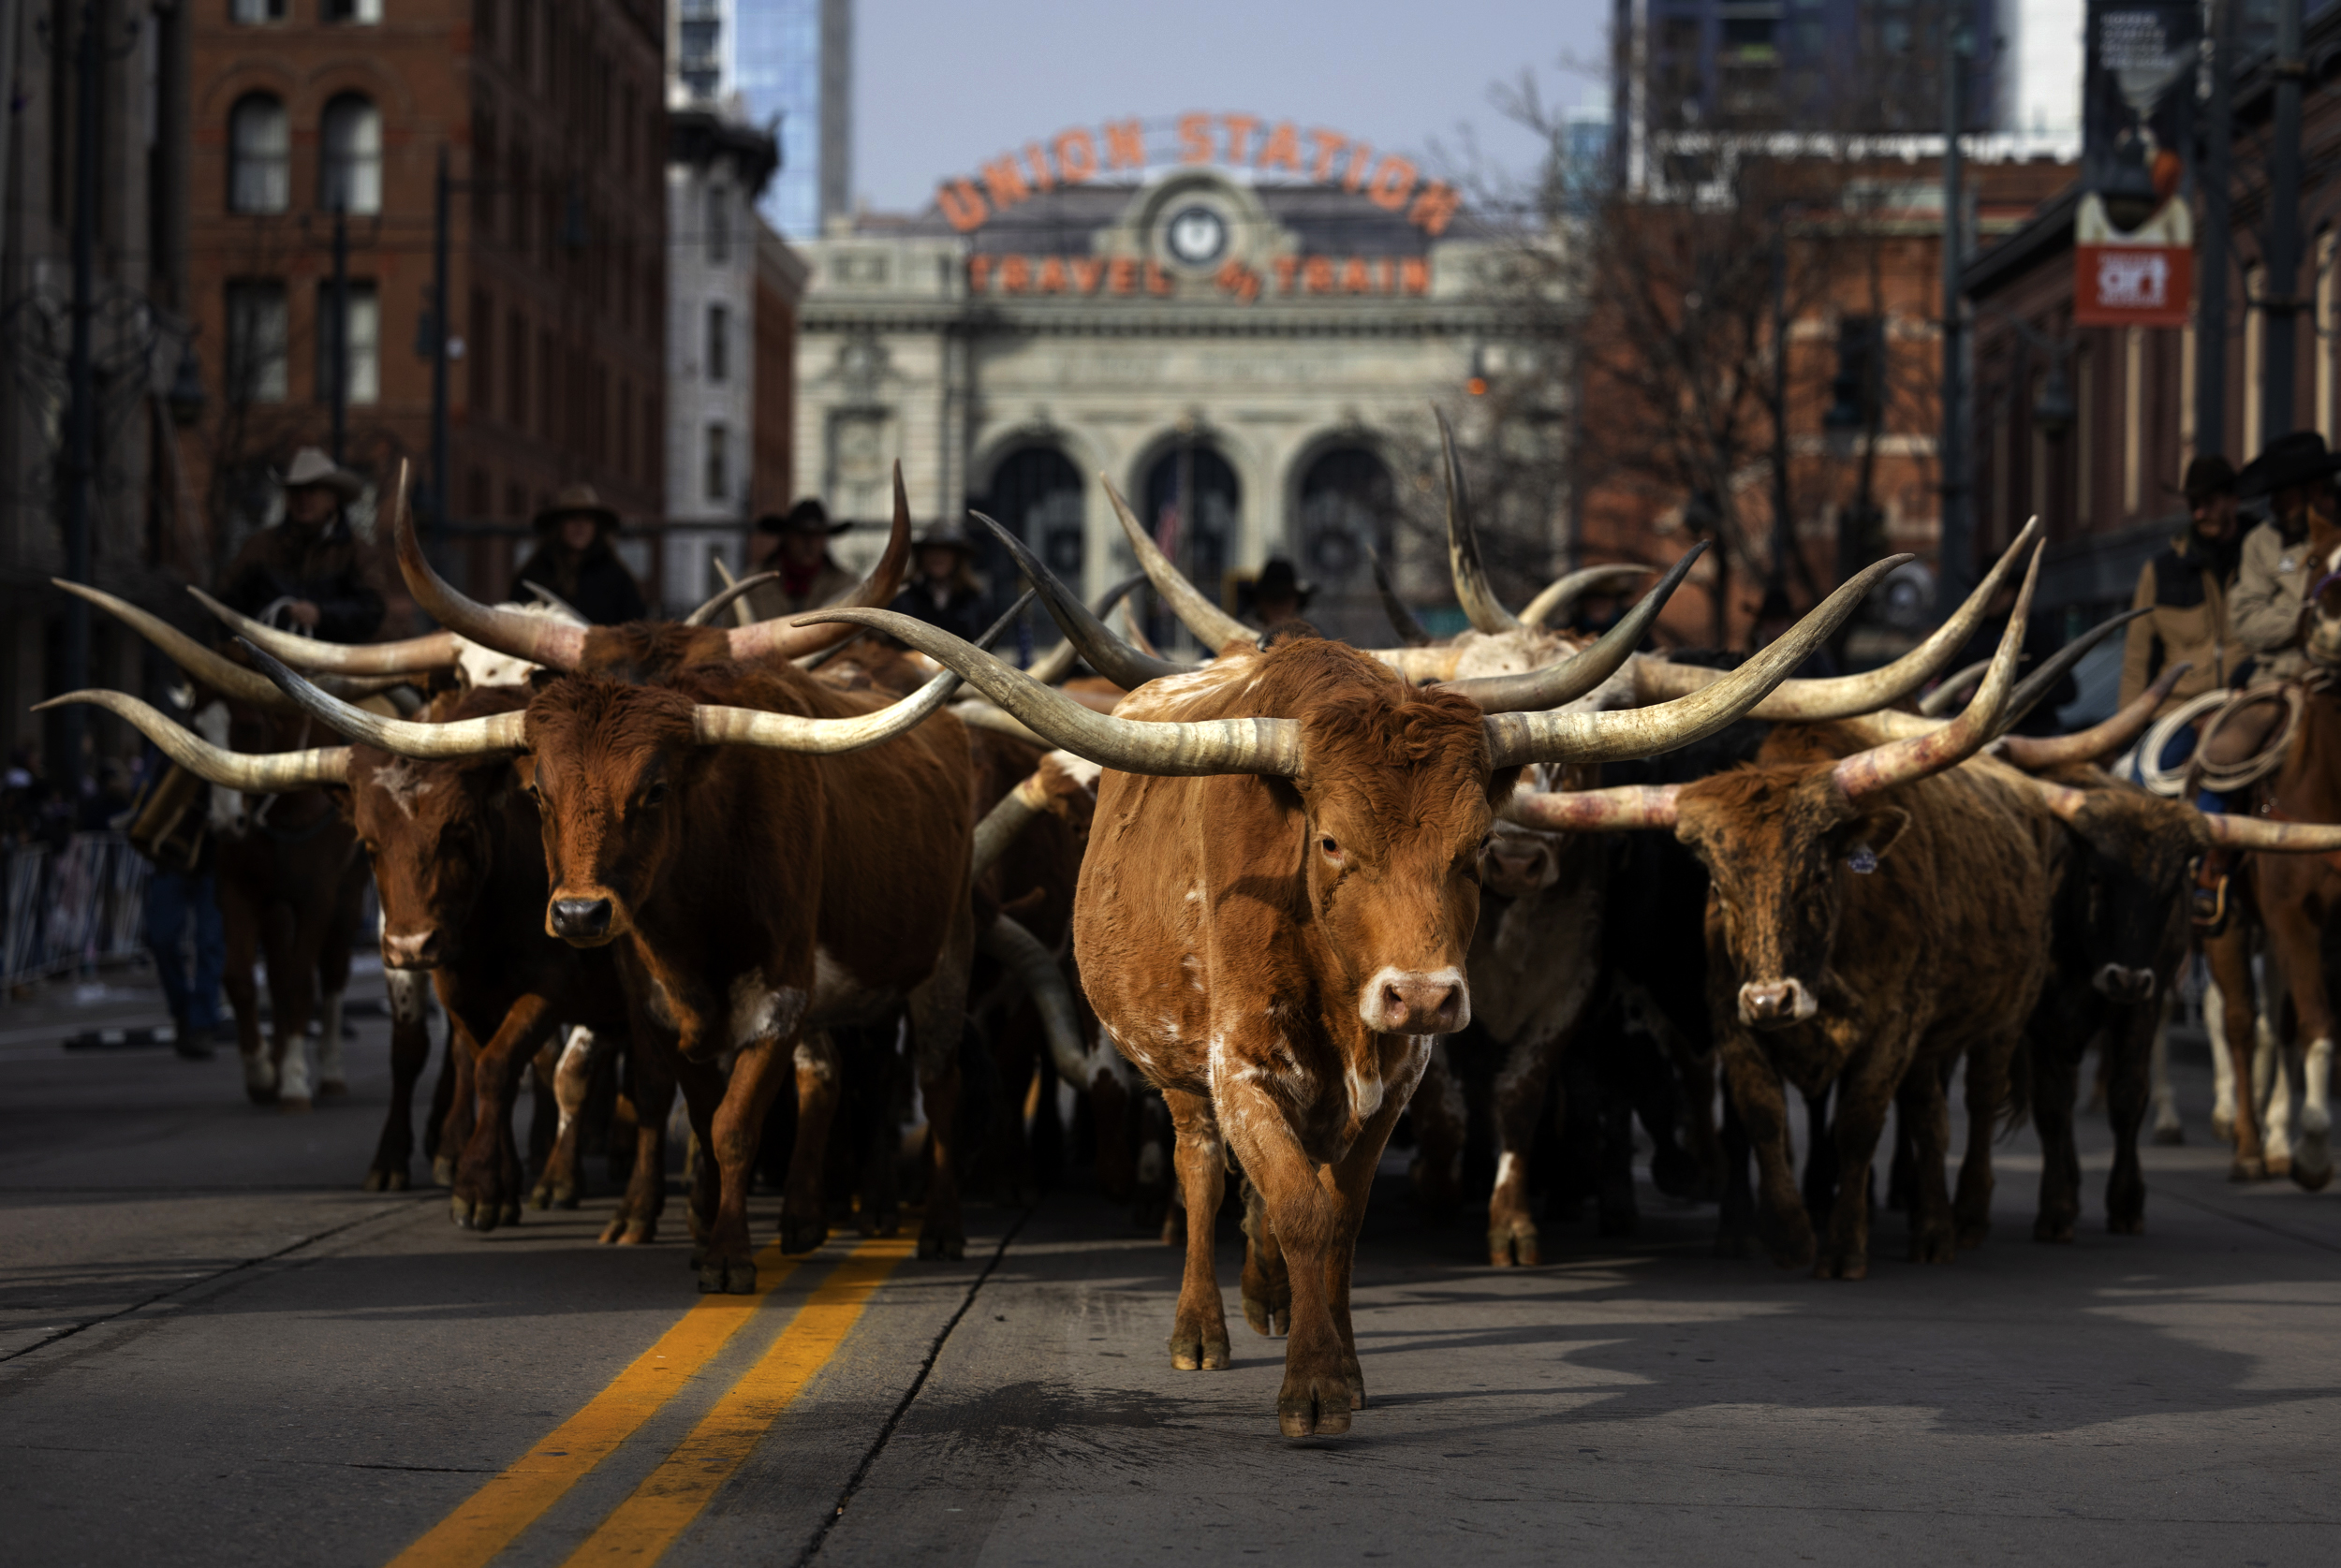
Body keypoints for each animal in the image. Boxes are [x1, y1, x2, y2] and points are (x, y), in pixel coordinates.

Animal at [799, 510, 1899, 1435]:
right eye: (1330, 841)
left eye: (1472, 843)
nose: (1424, 993)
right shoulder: (1239, 1064)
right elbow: (1294, 1201)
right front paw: (1314, 1390)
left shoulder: (1397, 1076)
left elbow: (1338, 1212)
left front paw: (1337, 1358)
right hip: (1174, 1067)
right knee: (1203, 1168)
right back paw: (1203, 1326)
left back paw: (1267, 1295)